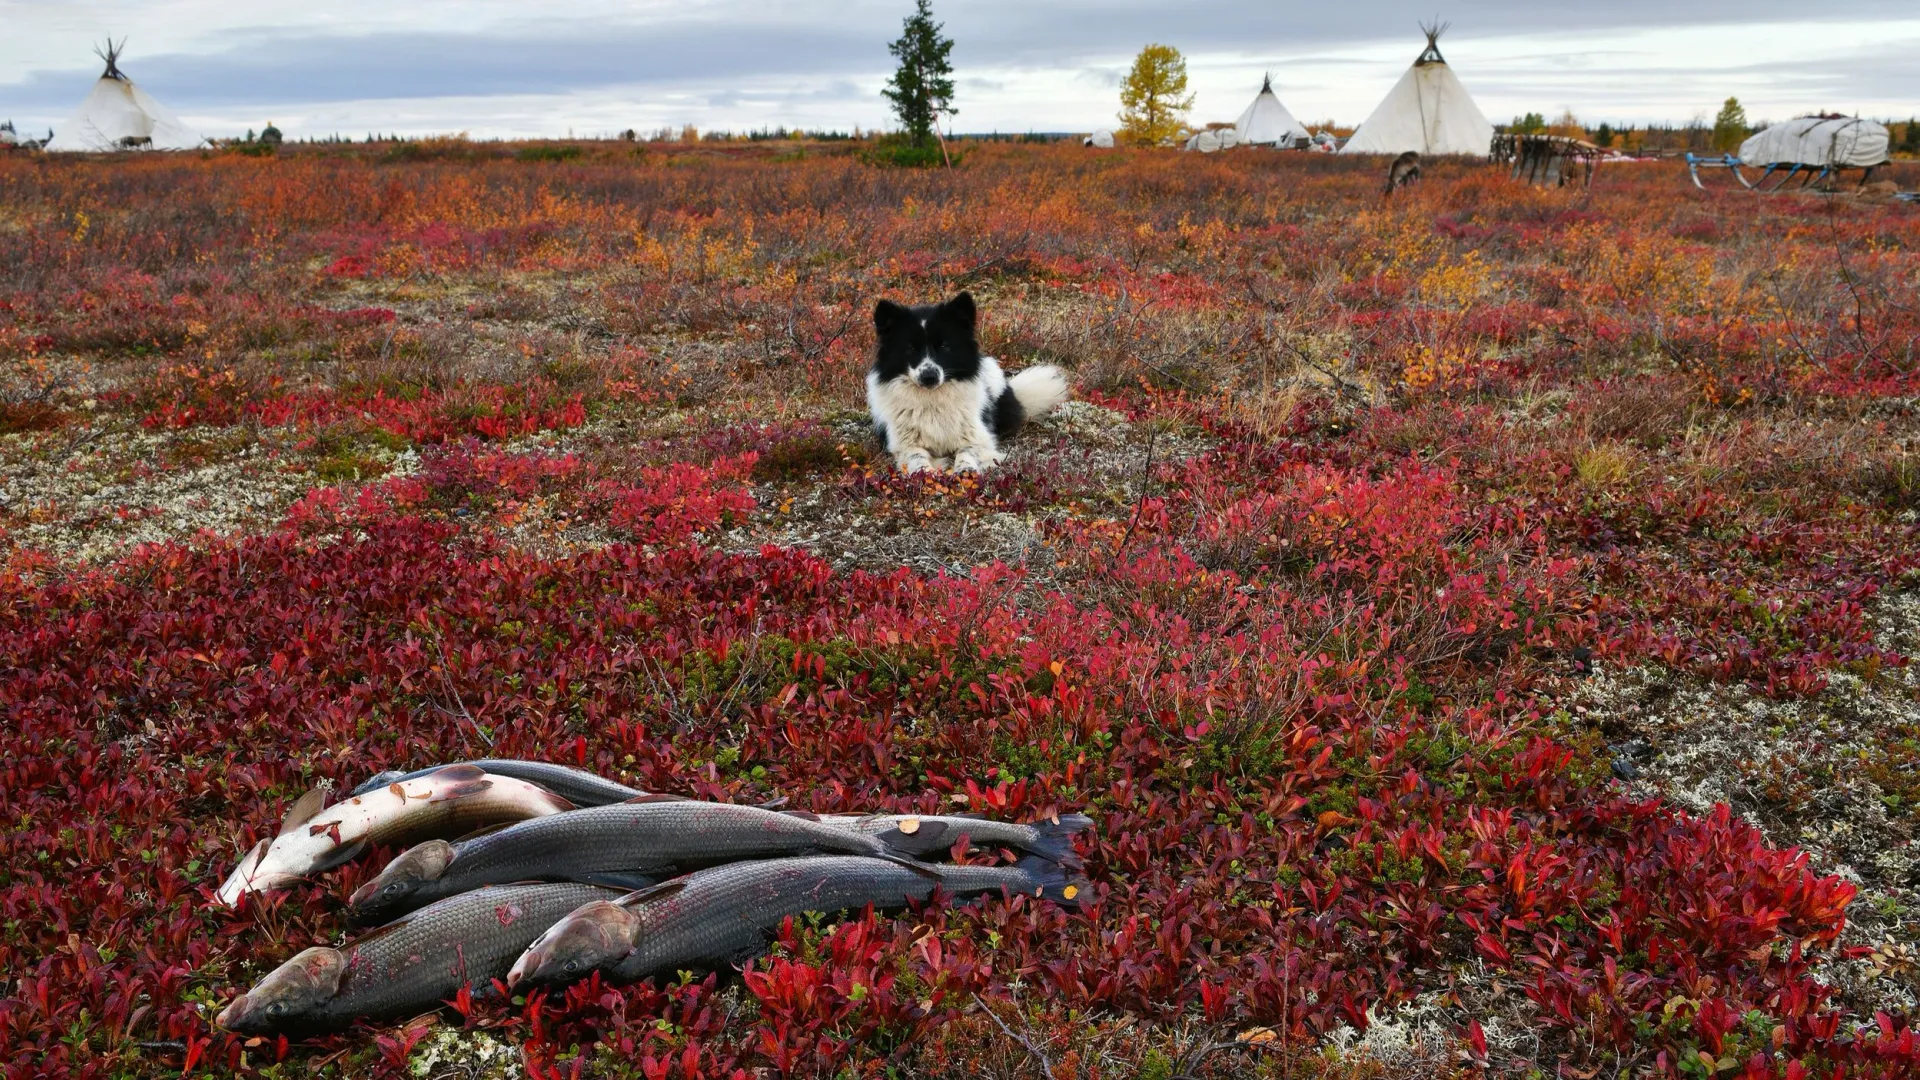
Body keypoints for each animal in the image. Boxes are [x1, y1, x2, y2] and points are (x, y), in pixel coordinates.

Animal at [867, 290, 1067, 470]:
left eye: (944, 346)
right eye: (910, 348)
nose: (929, 377)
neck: (933, 400)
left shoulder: (978, 435)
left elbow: (967, 451)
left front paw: (966, 471)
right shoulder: (904, 443)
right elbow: (916, 457)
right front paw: (924, 473)